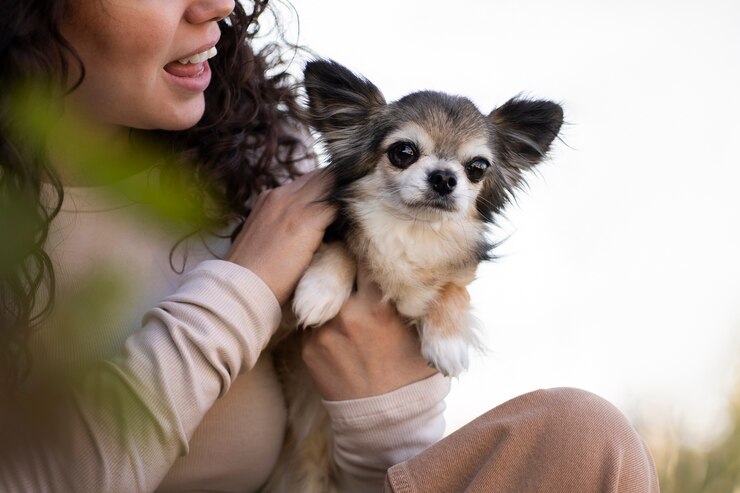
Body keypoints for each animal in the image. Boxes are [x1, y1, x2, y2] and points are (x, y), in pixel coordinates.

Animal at [264, 59, 564, 490]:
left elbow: (454, 292)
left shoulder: (454, 278)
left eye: (477, 168)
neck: (410, 232)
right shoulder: (281, 335)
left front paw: (448, 342)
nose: (444, 177)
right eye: (403, 152)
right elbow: (342, 248)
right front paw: (319, 291)